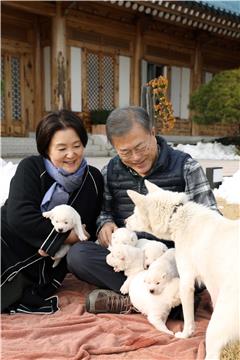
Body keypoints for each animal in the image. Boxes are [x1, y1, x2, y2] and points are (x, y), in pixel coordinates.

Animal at [126, 180, 239, 360]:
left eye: (135, 213)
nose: (124, 221)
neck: (177, 215)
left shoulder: (186, 281)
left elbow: (188, 317)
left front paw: (186, 334)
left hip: (218, 325)